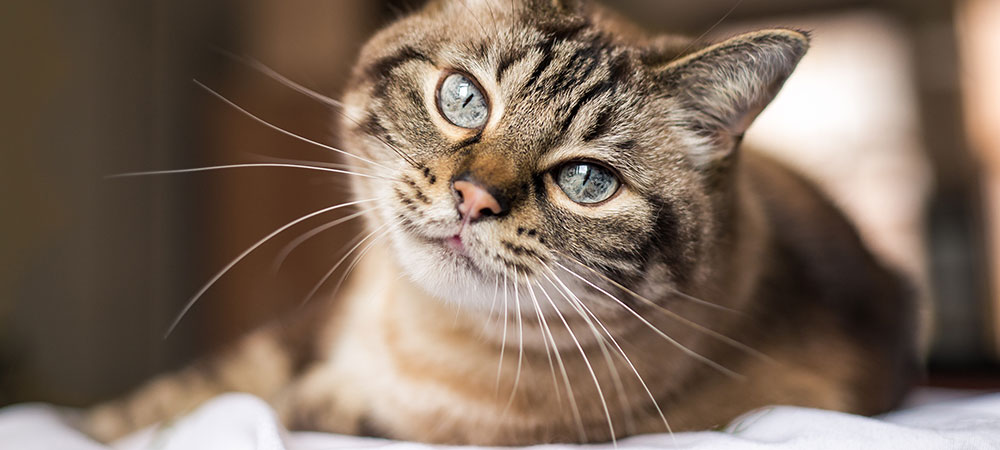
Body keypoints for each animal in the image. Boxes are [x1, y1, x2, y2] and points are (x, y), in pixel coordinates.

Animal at [82, 0, 916, 444]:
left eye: (587, 181)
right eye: (464, 100)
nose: (474, 198)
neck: (415, 336)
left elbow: (289, 412)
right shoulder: (305, 332)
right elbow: (178, 398)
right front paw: (101, 428)